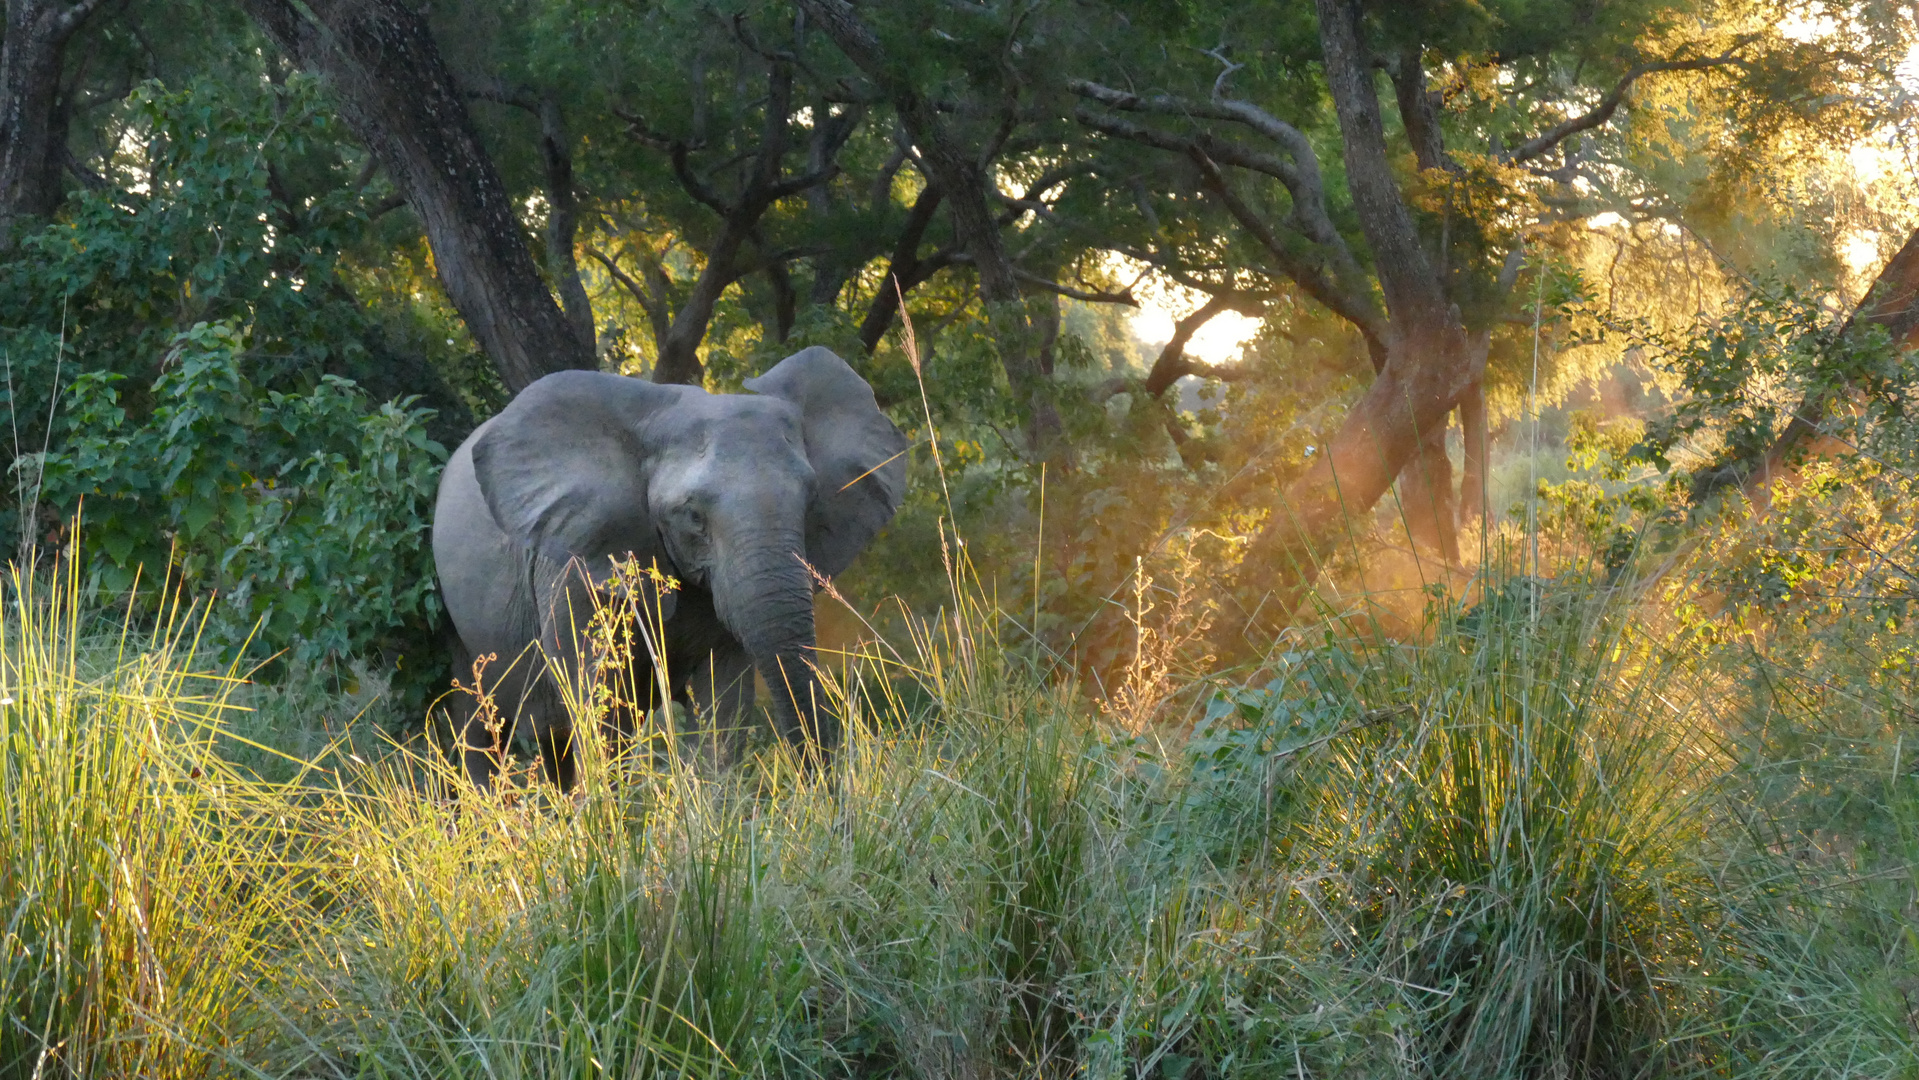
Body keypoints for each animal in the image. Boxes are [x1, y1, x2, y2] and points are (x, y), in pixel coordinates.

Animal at [433, 351, 905, 790]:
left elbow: (724, 703)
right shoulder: (574, 562)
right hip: (456, 623)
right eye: (692, 516)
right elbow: (600, 702)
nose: (828, 799)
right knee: (480, 729)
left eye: (809, 503)